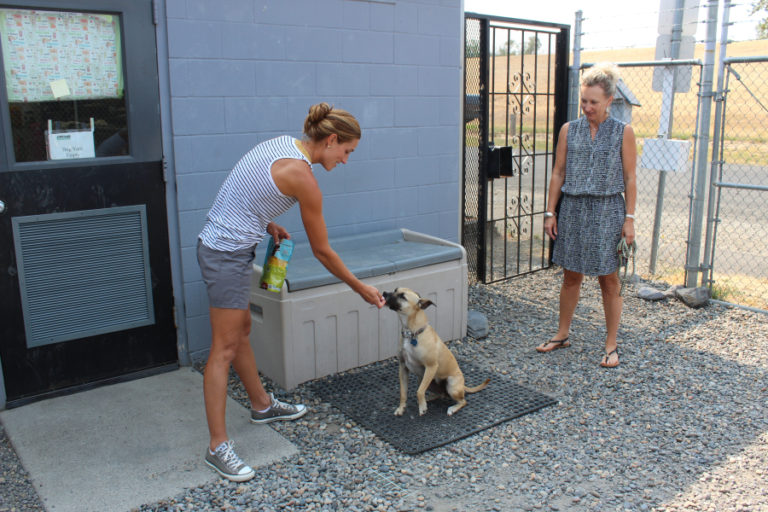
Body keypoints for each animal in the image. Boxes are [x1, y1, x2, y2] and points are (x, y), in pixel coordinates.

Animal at [380, 288, 488, 416]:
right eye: (395, 290)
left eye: (402, 296)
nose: (384, 293)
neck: (411, 333)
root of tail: (463, 386)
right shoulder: (403, 368)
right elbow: (403, 393)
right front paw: (401, 408)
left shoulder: (431, 366)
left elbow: (419, 391)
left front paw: (422, 407)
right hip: (425, 380)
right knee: (439, 394)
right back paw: (429, 398)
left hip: (451, 384)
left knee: (463, 401)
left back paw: (451, 408)